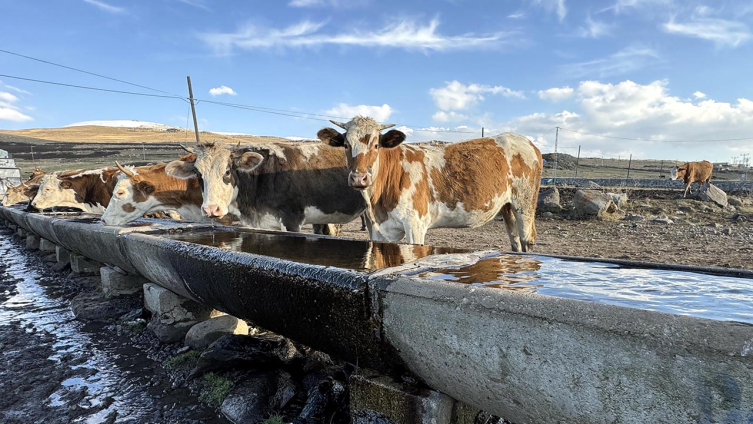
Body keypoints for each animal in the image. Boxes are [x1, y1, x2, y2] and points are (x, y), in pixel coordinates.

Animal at [316, 115, 540, 252]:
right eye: (346, 144)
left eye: (376, 144)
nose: (359, 178)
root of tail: (527, 142)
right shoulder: (381, 231)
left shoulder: (415, 224)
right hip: (507, 206)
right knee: (515, 242)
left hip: (525, 204)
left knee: (526, 240)